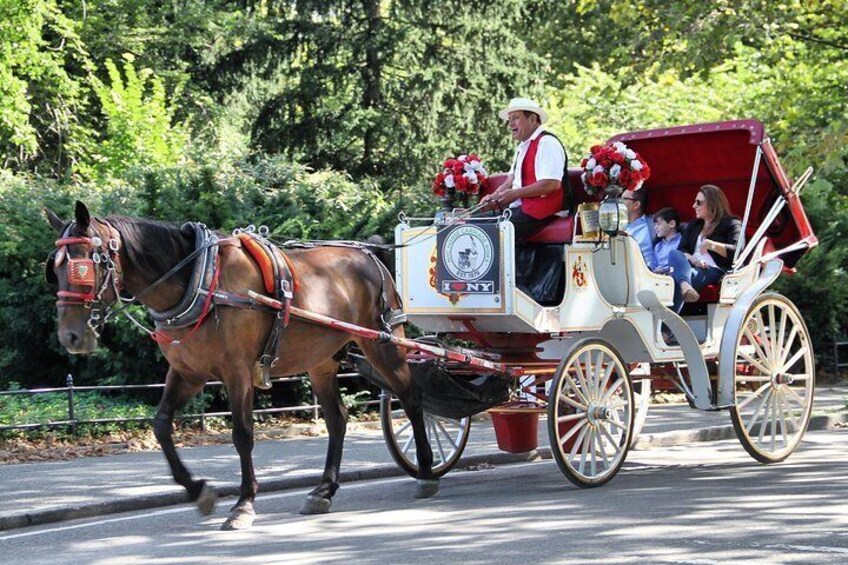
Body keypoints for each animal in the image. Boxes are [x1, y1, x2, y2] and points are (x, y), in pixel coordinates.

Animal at [41, 202, 438, 528]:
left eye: (81, 266)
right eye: (53, 269)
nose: (70, 336)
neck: (199, 281)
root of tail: (368, 254)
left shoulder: (238, 373)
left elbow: (243, 435)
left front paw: (244, 504)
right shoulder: (187, 373)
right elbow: (162, 426)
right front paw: (198, 491)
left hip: (383, 344)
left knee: (411, 398)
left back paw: (426, 471)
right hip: (322, 360)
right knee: (337, 418)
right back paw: (323, 490)